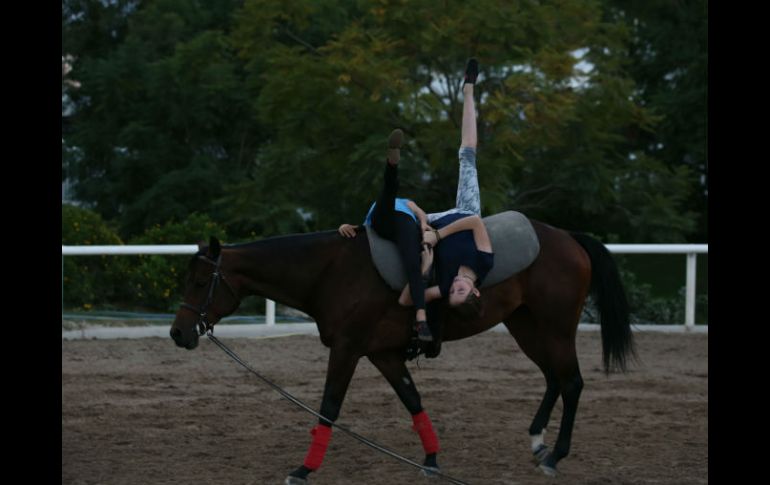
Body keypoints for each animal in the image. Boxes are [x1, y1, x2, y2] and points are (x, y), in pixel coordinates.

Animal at [171, 217, 632, 482]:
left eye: (200, 281)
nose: (178, 333)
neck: (332, 270)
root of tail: (567, 238)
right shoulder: (384, 354)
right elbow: (413, 400)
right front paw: (431, 459)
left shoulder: (348, 349)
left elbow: (329, 406)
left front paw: (304, 469)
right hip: (526, 326)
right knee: (554, 378)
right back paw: (538, 442)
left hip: (555, 328)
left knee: (572, 382)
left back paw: (555, 455)